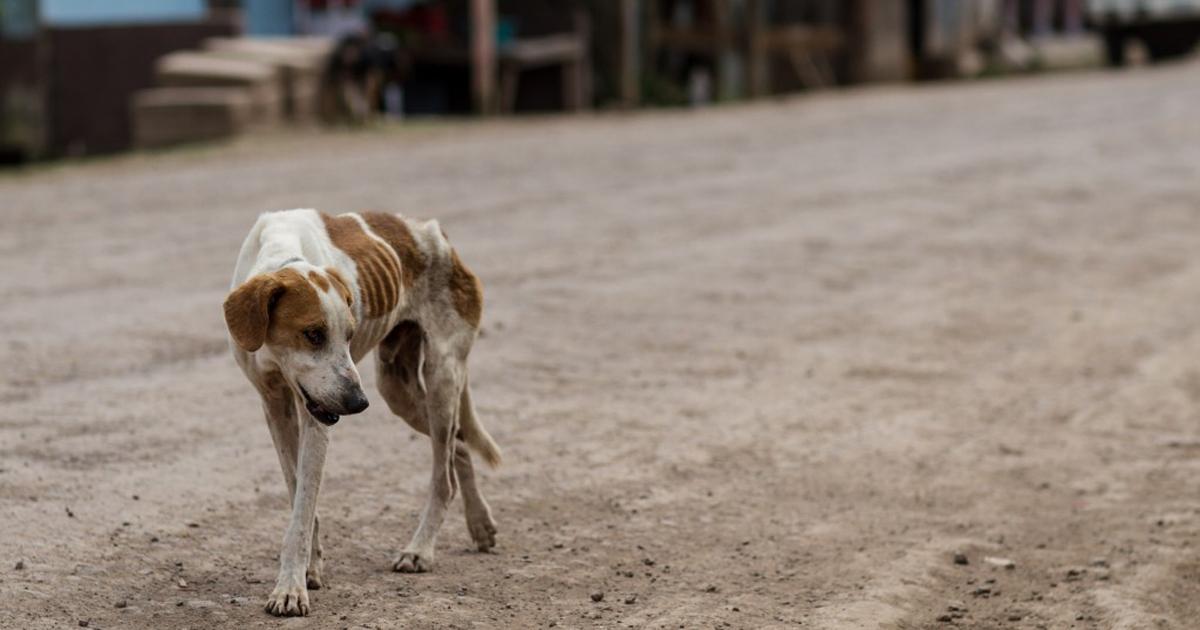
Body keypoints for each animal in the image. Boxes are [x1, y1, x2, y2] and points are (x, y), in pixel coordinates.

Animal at [223, 206, 499, 614]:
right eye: (313, 334)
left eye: (350, 335)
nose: (358, 404)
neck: (283, 253)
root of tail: (438, 234)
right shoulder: (275, 406)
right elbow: (298, 496)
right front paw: (310, 568)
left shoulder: (315, 418)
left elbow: (302, 509)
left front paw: (290, 588)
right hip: (397, 391)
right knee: (459, 447)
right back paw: (480, 524)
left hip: (441, 378)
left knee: (443, 476)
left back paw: (420, 550)